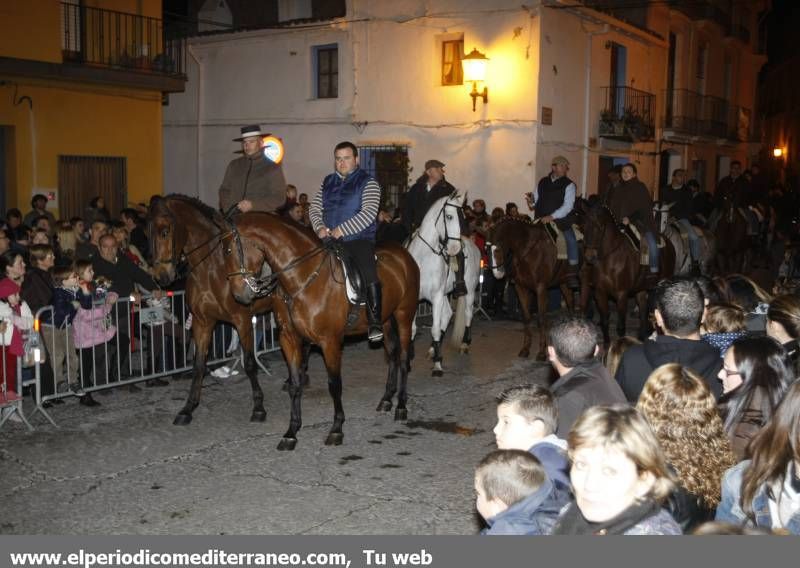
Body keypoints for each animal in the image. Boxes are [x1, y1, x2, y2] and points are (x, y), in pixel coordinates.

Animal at [148, 195, 290, 426]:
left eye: (165, 231)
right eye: (148, 232)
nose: (161, 277)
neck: (212, 269)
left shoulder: (242, 320)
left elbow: (249, 363)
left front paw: (259, 407)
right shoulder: (202, 322)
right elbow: (198, 364)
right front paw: (188, 408)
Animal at [219, 211, 418, 450]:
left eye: (229, 250)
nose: (239, 295)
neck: (302, 279)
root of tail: (403, 253)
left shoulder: (330, 341)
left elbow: (334, 385)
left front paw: (336, 429)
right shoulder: (289, 339)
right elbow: (295, 384)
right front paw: (291, 432)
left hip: (404, 315)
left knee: (404, 358)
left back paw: (401, 406)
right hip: (386, 320)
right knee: (393, 355)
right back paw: (387, 399)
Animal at [410, 193, 478, 374]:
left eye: (463, 218)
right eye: (449, 216)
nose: (455, 248)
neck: (424, 258)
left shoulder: (437, 296)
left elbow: (434, 328)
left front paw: (437, 365)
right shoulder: (415, 298)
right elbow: (412, 329)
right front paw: (408, 358)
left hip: (469, 291)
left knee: (468, 314)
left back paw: (464, 344)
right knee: (447, 315)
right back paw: (433, 349)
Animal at [488, 217, 576, 360]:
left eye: (498, 249)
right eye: (486, 250)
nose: (497, 274)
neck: (528, 250)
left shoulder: (541, 289)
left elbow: (541, 319)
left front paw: (541, 352)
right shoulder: (521, 287)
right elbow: (527, 317)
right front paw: (525, 349)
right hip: (563, 282)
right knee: (570, 301)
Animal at [576, 204, 676, 346]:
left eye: (600, 227)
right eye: (583, 226)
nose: (590, 257)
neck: (611, 258)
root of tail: (669, 243)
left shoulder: (622, 295)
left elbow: (621, 327)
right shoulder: (600, 292)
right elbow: (605, 320)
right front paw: (607, 345)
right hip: (641, 288)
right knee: (643, 310)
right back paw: (641, 336)